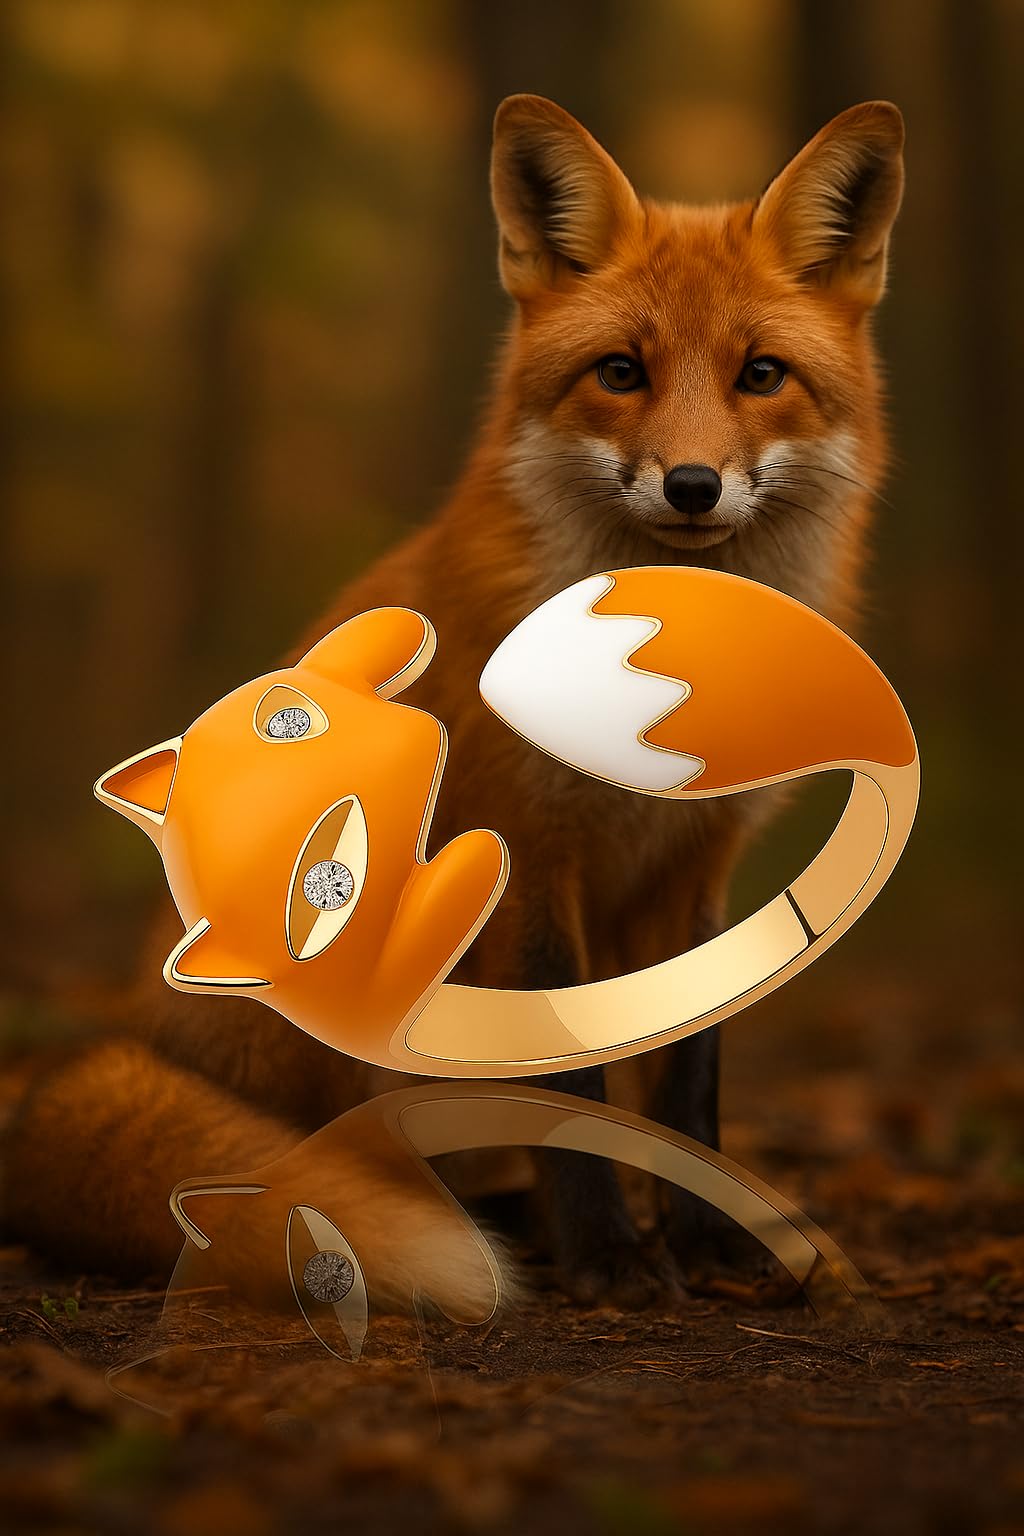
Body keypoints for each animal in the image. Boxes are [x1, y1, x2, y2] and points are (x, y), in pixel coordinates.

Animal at [4, 95, 904, 1314]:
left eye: (760, 375)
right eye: (621, 372)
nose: (691, 485)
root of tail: (144, 1032)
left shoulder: (693, 868)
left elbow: (686, 1072)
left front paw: (712, 1245)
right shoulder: (524, 849)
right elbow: (572, 1081)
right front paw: (611, 1258)